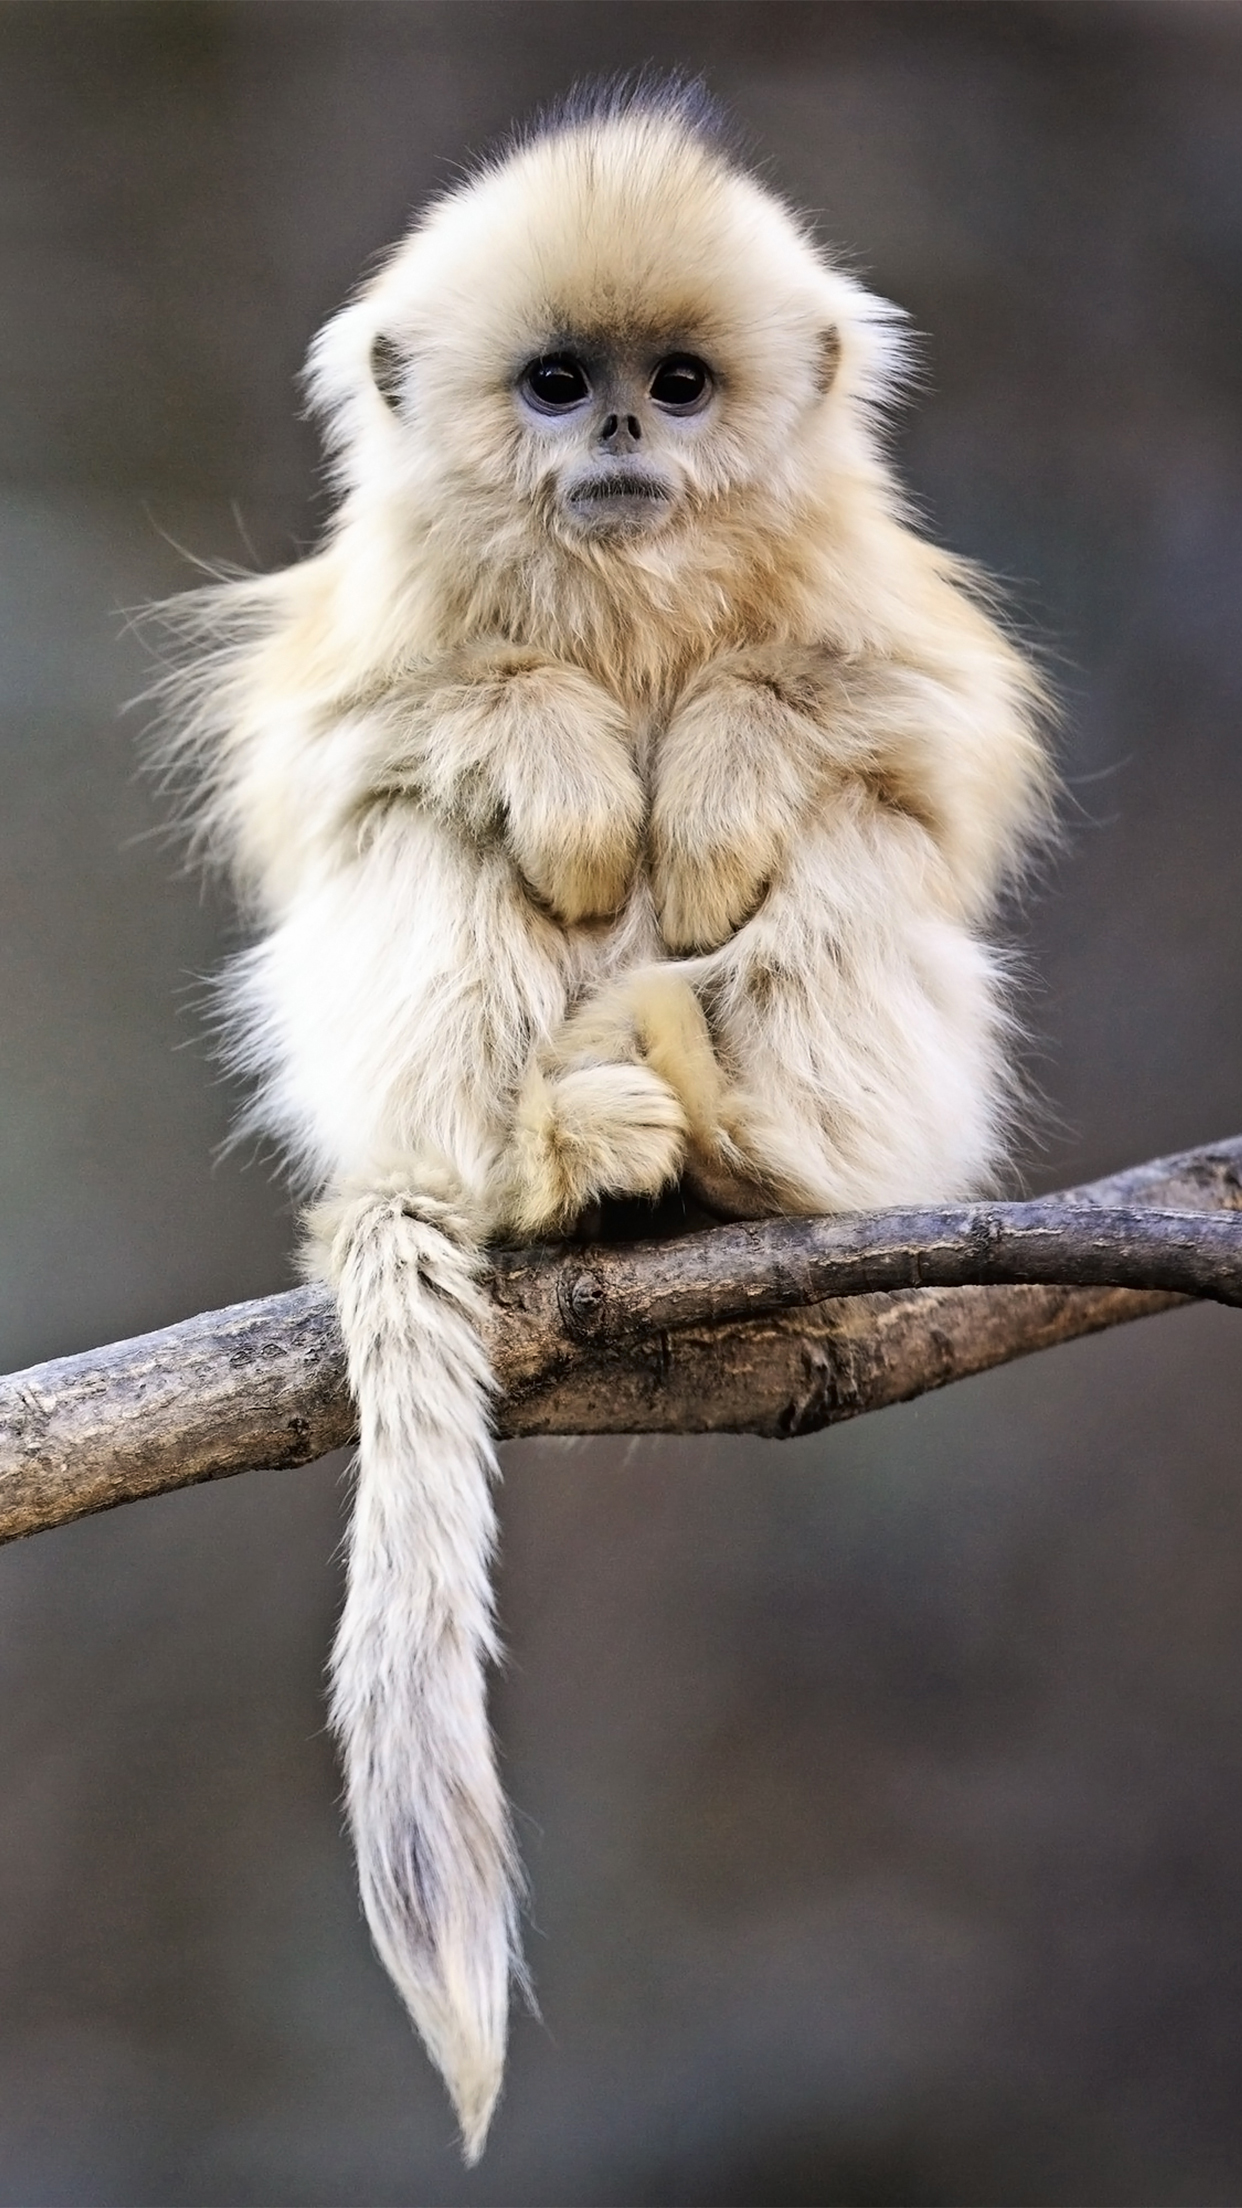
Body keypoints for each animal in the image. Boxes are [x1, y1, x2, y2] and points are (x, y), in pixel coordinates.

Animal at [158, 80, 1050, 2161]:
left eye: (681, 382)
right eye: (559, 383)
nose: (626, 438)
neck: (628, 590)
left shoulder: (881, 609)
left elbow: (925, 747)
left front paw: (711, 778)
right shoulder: (371, 632)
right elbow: (354, 757)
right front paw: (568, 766)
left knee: (853, 838)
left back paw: (735, 1146)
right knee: (420, 836)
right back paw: (552, 1163)